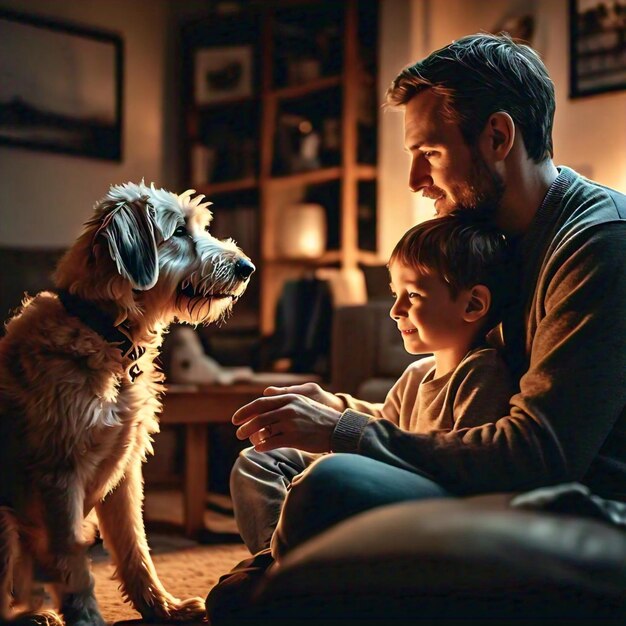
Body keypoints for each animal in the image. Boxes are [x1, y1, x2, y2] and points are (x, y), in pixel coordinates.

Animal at [0, 178, 254, 620]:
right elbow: (72, 561)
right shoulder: (59, 473)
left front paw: (164, 608)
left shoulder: (125, 467)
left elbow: (135, 545)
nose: (247, 268)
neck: (105, 334)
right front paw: (87, 617)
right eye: (180, 231)